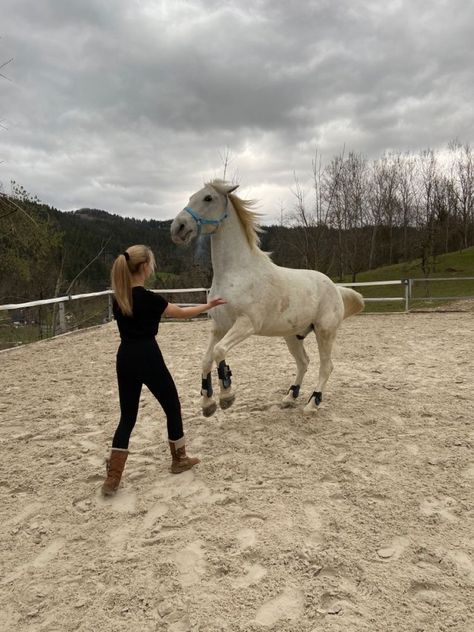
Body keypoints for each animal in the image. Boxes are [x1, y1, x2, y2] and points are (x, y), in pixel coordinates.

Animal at [169, 179, 362, 414]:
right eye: (190, 197)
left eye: (208, 198)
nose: (178, 228)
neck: (236, 272)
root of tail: (335, 287)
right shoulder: (219, 326)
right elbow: (206, 359)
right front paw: (208, 404)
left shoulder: (246, 324)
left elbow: (219, 351)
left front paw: (227, 396)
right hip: (293, 336)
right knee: (304, 362)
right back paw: (289, 397)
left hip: (325, 332)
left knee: (326, 366)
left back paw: (312, 404)